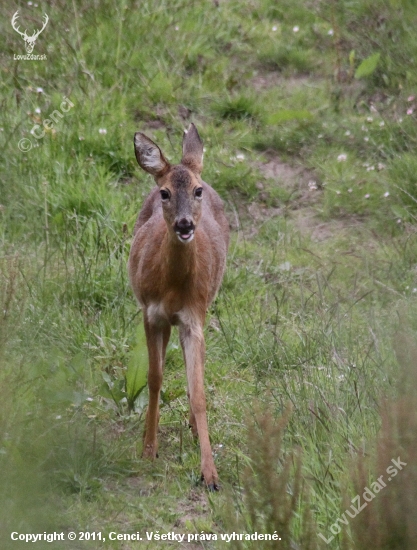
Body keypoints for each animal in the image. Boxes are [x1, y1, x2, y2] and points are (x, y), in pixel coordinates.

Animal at [128, 124, 229, 492]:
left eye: (196, 191)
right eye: (165, 193)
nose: (185, 225)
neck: (172, 290)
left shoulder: (193, 316)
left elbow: (198, 390)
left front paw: (210, 474)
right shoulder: (150, 313)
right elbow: (154, 378)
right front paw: (148, 450)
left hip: (206, 305)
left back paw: (192, 427)